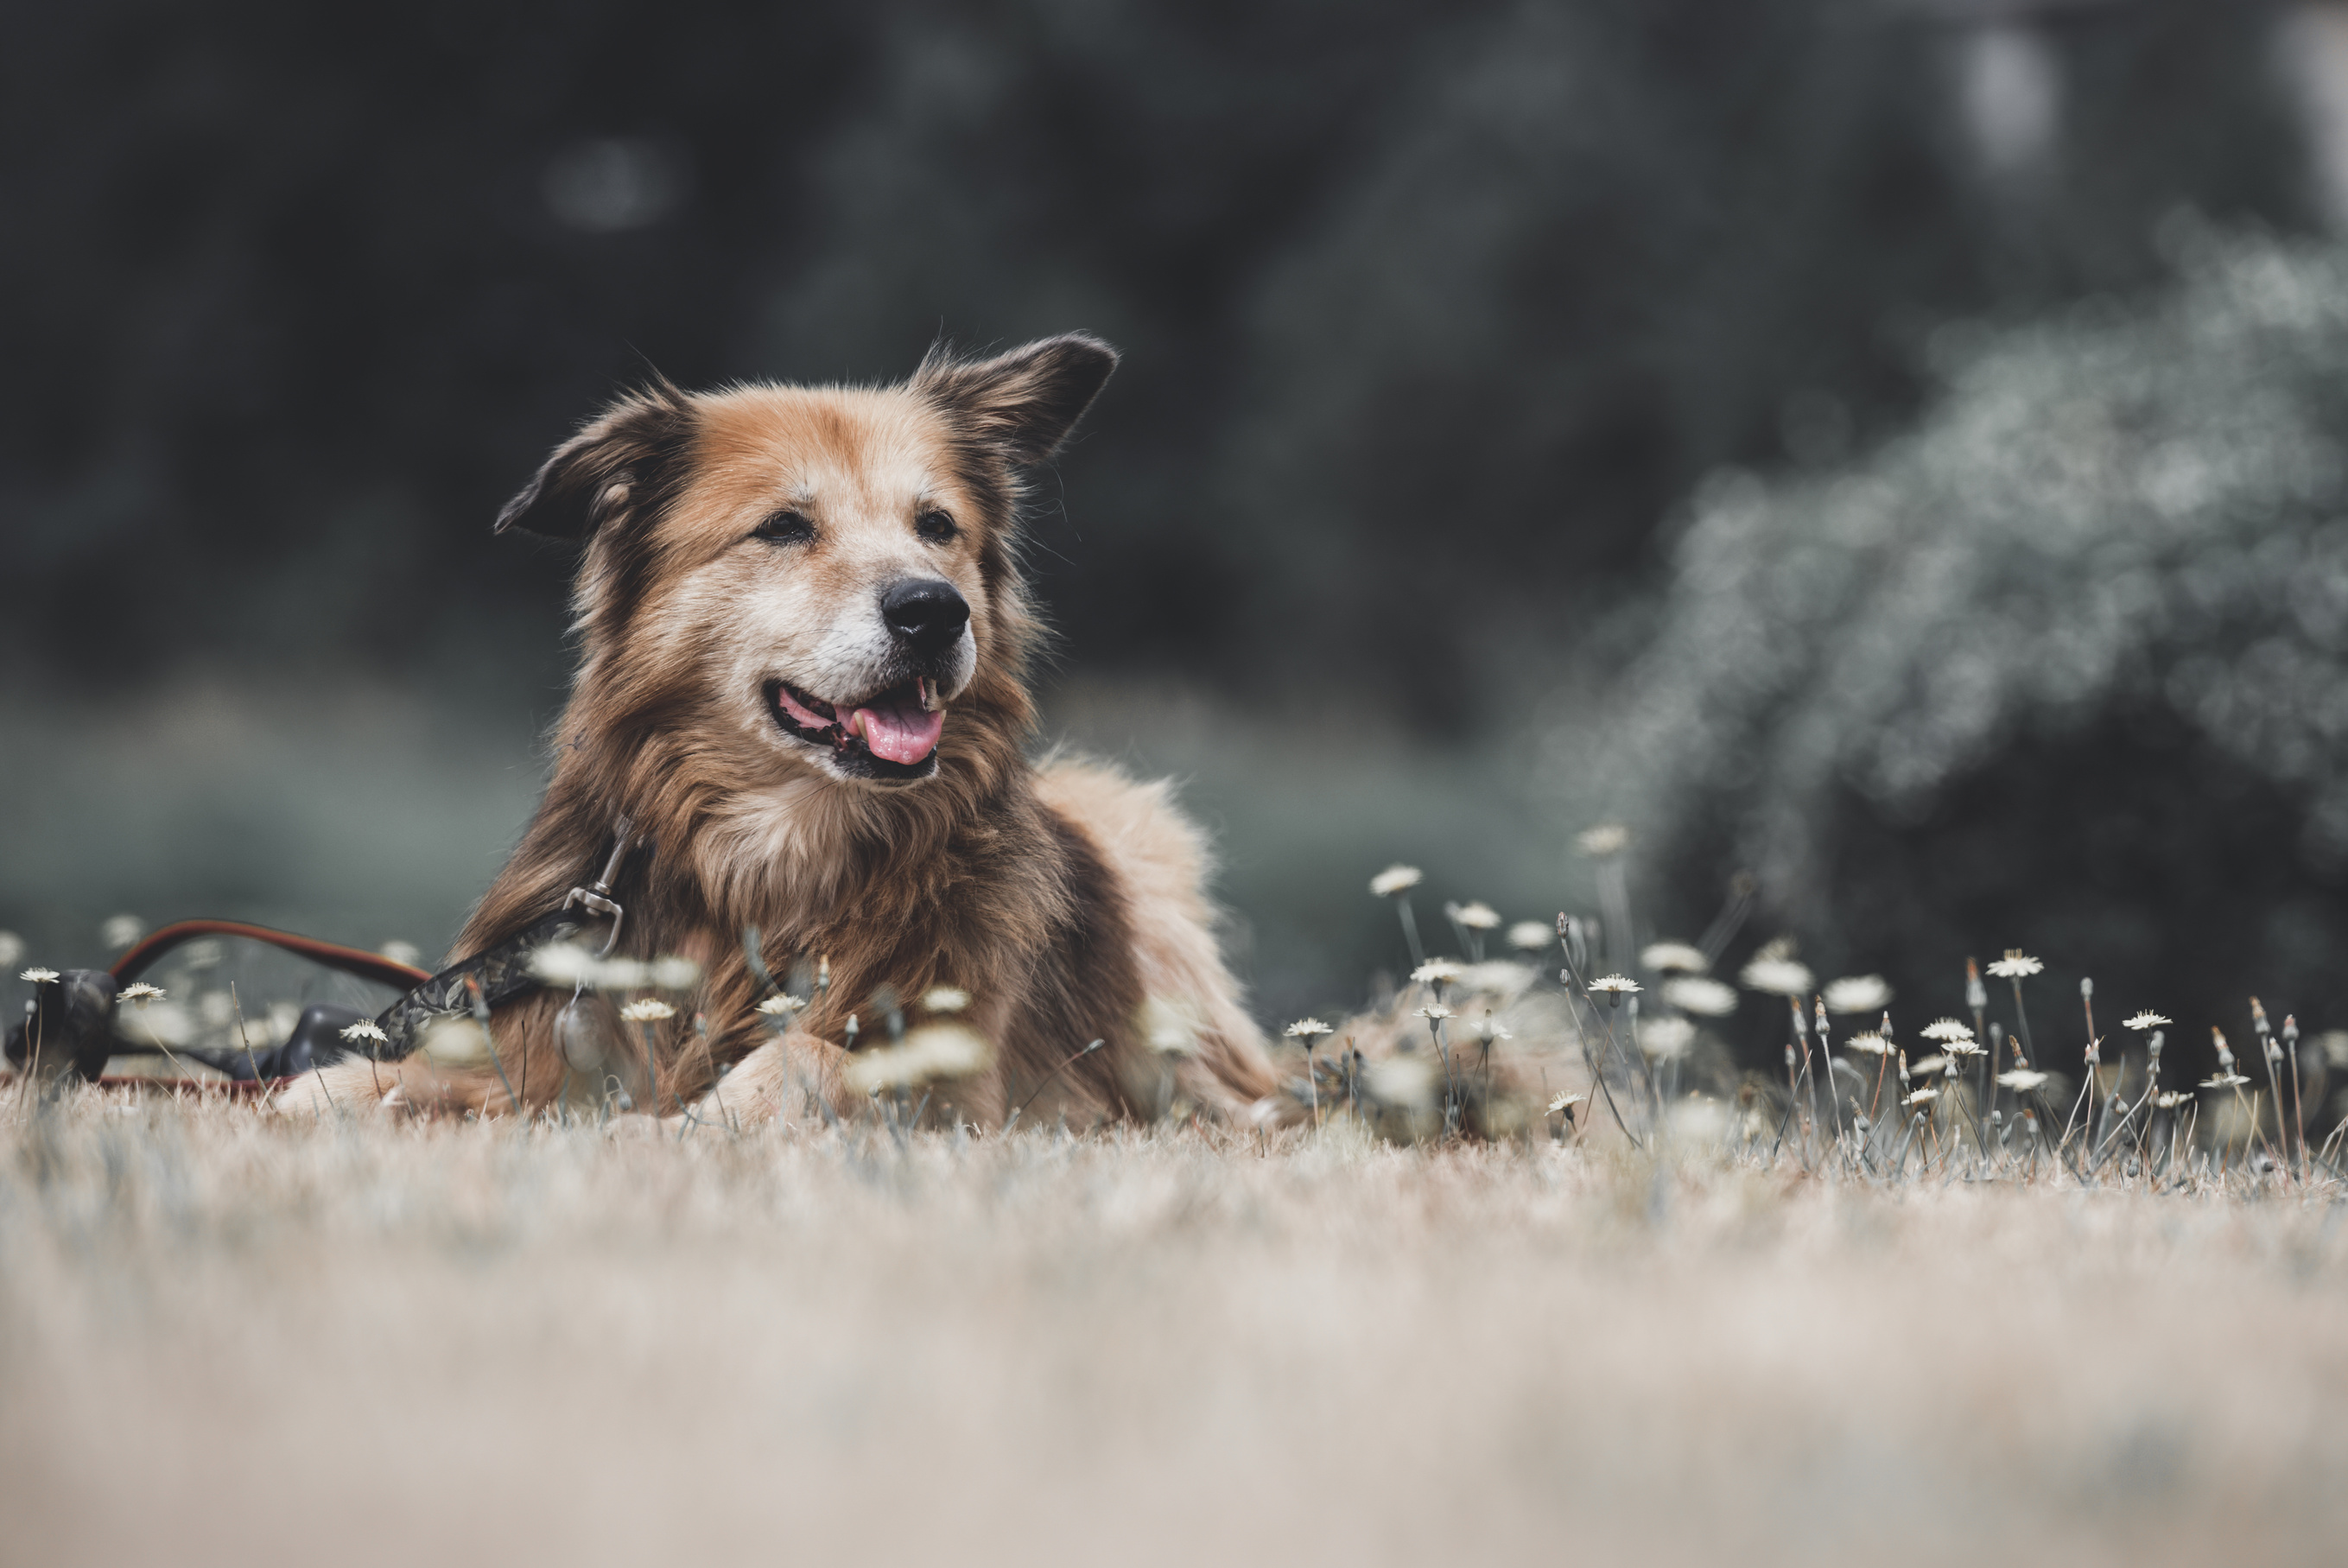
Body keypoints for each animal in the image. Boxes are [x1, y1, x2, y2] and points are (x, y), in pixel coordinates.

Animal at [289, 338, 1286, 1131]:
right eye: (782, 527)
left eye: (937, 526)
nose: (935, 610)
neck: (775, 858)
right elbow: (355, 1084)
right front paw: (347, 1091)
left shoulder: (983, 1091)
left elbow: (814, 1057)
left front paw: (694, 1119)